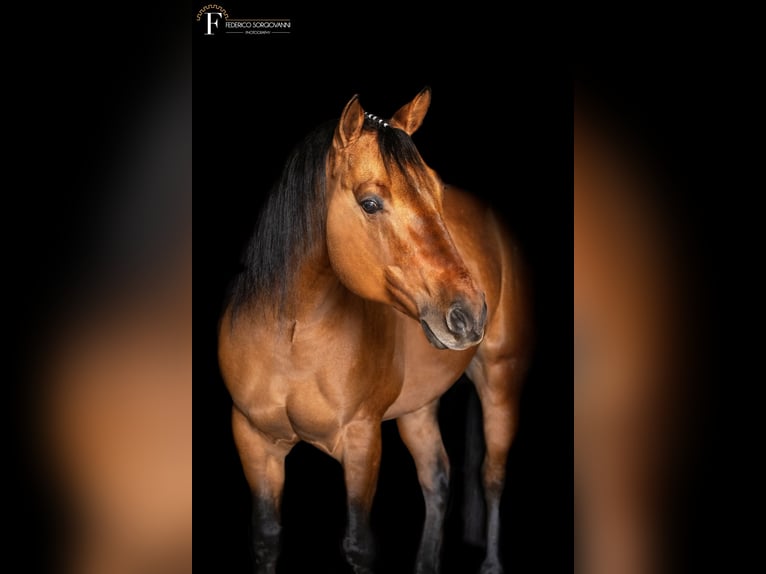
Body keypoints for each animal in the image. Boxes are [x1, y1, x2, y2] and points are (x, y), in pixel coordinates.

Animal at [218, 86, 536, 574]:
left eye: (437, 191)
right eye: (370, 203)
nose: (469, 314)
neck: (291, 338)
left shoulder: (362, 441)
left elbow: (358, 545)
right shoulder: (254, 440)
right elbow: (266, 539)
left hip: (501, 378)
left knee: (493, 476)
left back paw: (492, 564)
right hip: (418, 408)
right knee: (437, 478)